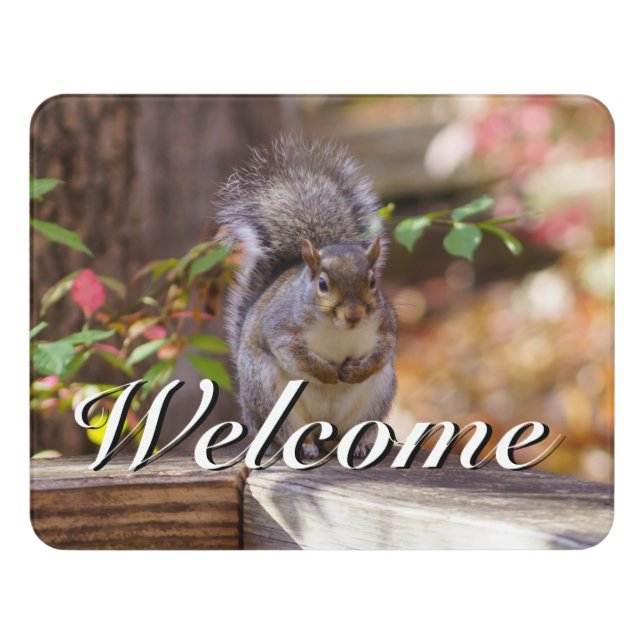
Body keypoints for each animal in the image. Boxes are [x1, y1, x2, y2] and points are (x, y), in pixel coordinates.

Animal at [216, 136, 397, 459]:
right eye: (322, 284)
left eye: (373, 281)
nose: (354, 314)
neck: (338, 329)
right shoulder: (280, 327)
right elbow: (292, 352)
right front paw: (327, 372)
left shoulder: (385, 327)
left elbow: (384, 351)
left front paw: (355, 370)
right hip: (269, 396)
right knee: (291, 434)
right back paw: (306, 447)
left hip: (376, 397)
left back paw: (360, 444)